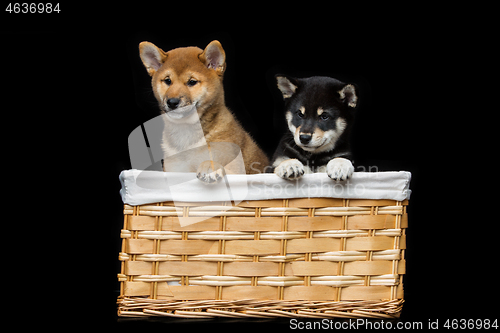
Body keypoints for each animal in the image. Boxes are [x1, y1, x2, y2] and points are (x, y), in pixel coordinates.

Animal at [137, 40, 270, 184]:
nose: (172, 102)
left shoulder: (239, 170)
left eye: (192, 82)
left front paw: (209, 167)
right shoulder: (174, 172)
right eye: (167, 81)